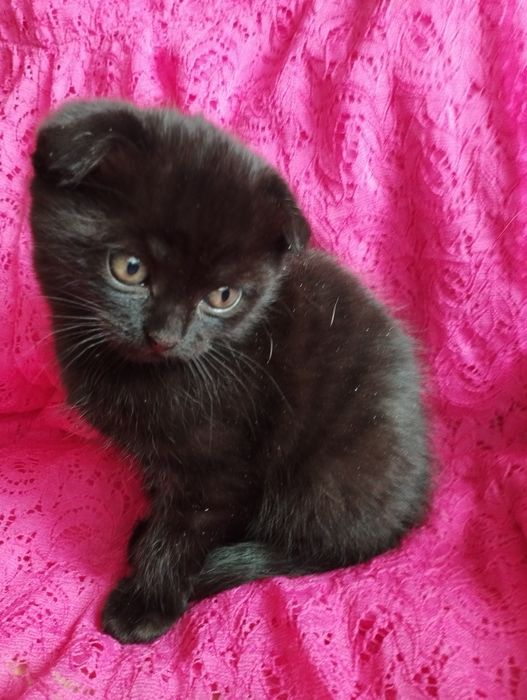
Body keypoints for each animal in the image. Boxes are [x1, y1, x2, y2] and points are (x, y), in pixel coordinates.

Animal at [30, 99, 429, 644]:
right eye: (129, 268)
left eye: (222, 296)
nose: (166, 334)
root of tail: (415, 503)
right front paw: (149, 542)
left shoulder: (220, 461)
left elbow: (185, 530)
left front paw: (145, 603)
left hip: (329, 477)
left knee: (316, 547)